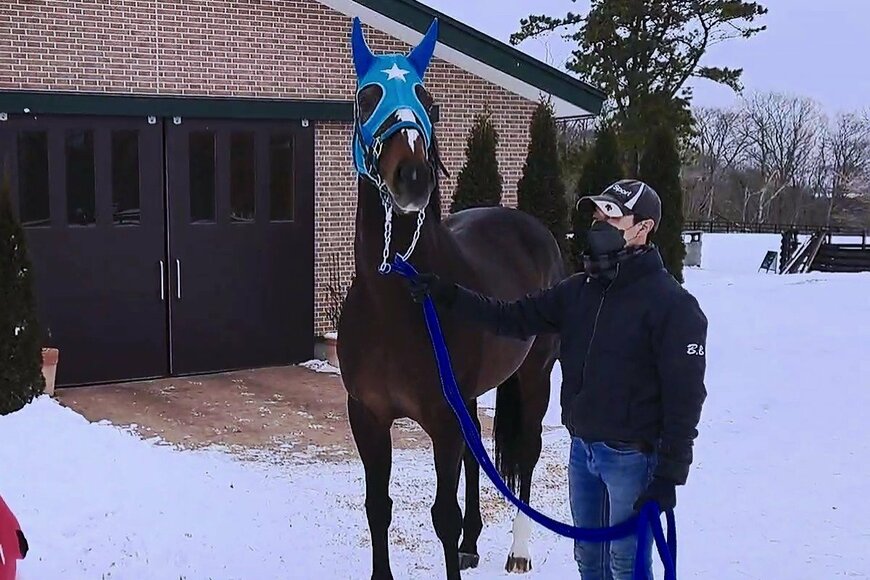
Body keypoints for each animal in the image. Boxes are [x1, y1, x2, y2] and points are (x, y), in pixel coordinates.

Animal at [338, 17, 568, 580]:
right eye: (367, 97)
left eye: (428, 99)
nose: (413, 178)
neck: (396, 305)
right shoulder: (368, 416)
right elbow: (378, 507)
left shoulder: (442, 420)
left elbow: (441, 513)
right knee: (477, 450)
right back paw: (471, 543)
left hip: (535, 375)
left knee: (527, 454)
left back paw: (518, 553)